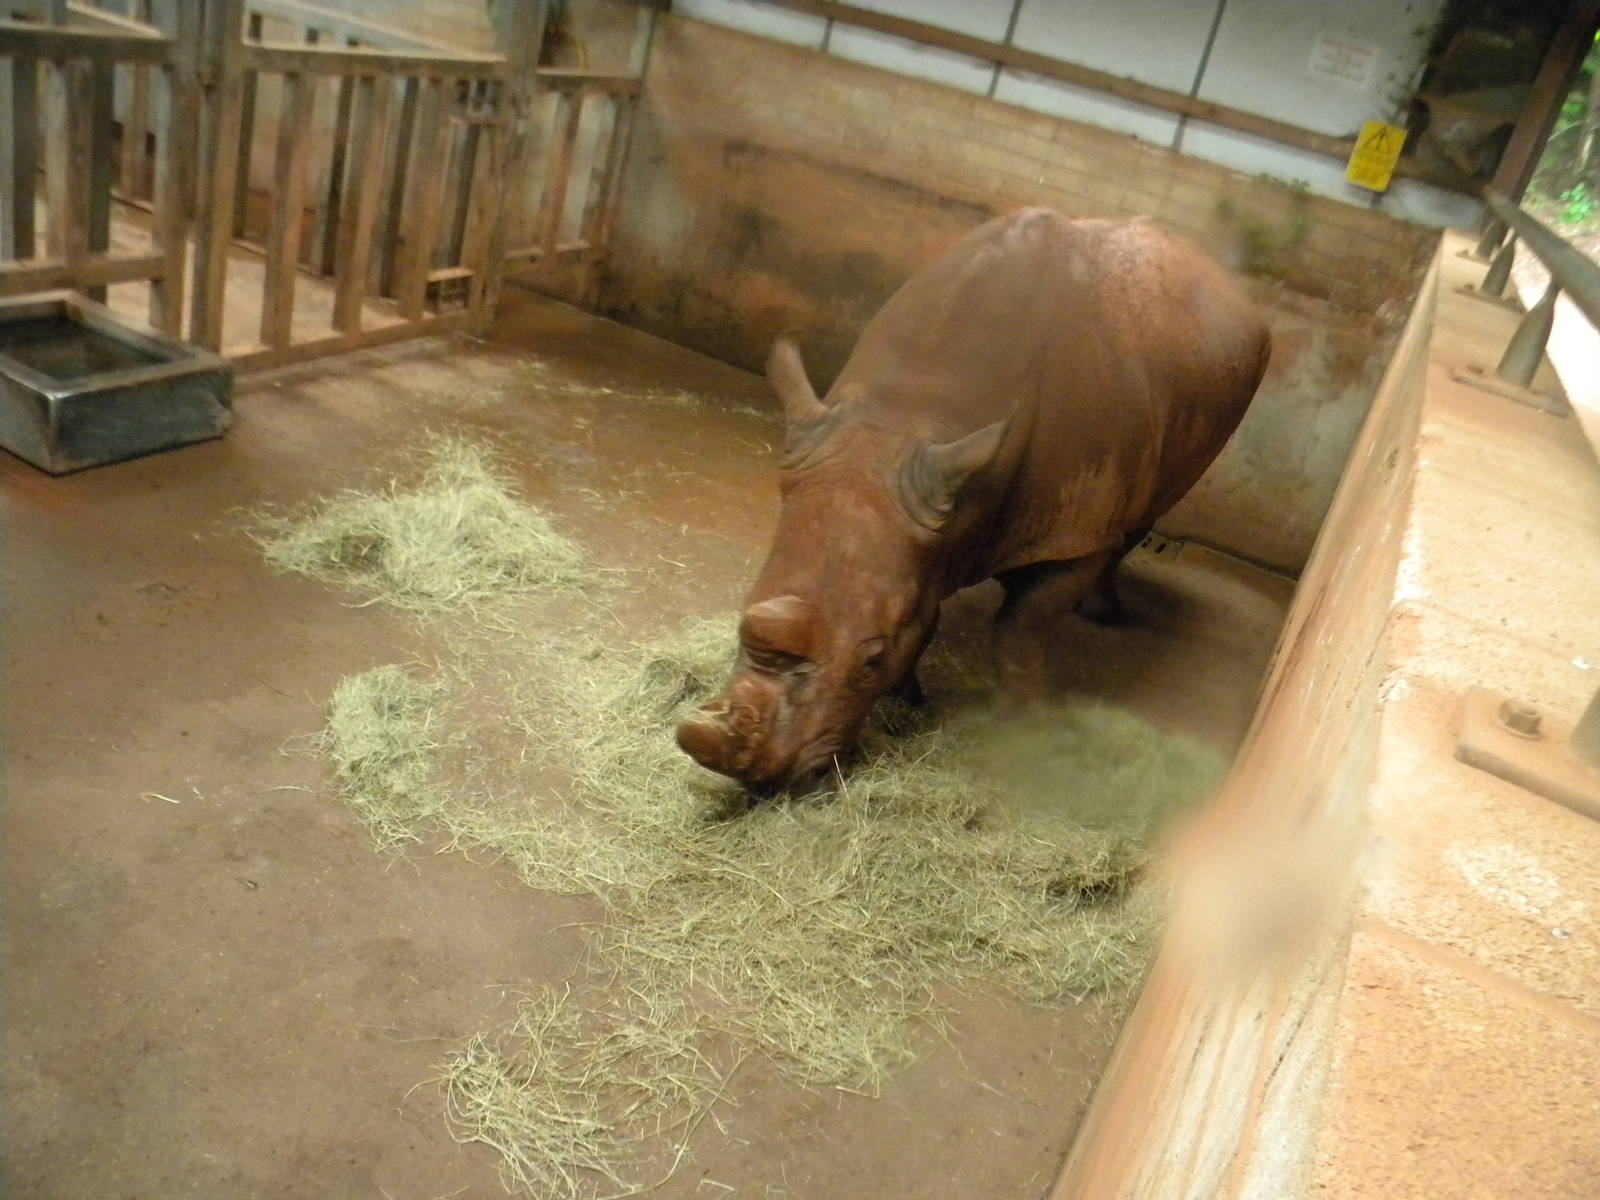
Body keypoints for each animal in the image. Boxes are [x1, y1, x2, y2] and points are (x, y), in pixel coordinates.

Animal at [676, 208, 1269, 792]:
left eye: (872, 659)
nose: (773, 782)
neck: (908, 416)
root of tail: (1223, 278)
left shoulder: (1075, 534)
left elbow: (1020, 627)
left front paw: (1023, 724)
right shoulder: (927, 514)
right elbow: (926, 607)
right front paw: (909, 696)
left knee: (1145, 512)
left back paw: (1101, 611)